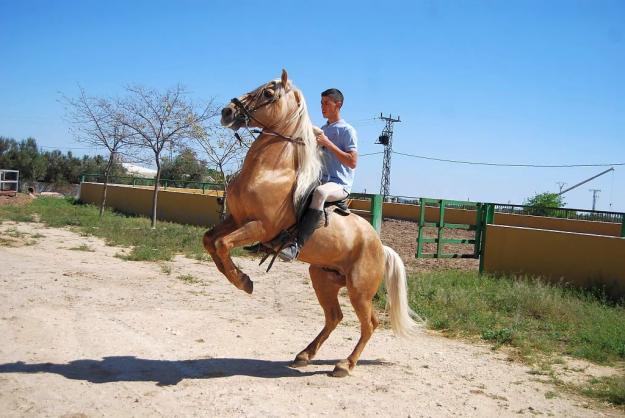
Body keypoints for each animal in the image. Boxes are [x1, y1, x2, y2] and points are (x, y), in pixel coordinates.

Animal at [205, 70, 420, 378]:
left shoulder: (260, 226)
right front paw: (237, 277)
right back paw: (304, 355)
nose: (227, 111)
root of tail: (380, 246)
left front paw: (243, 281)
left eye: (268, 93)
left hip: (359, 290)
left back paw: (345, 365)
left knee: (369, 324)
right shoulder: (235, 220)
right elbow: (210, 241)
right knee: (335, 317)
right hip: (322, 278)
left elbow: (222, 243)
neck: (271, 171)